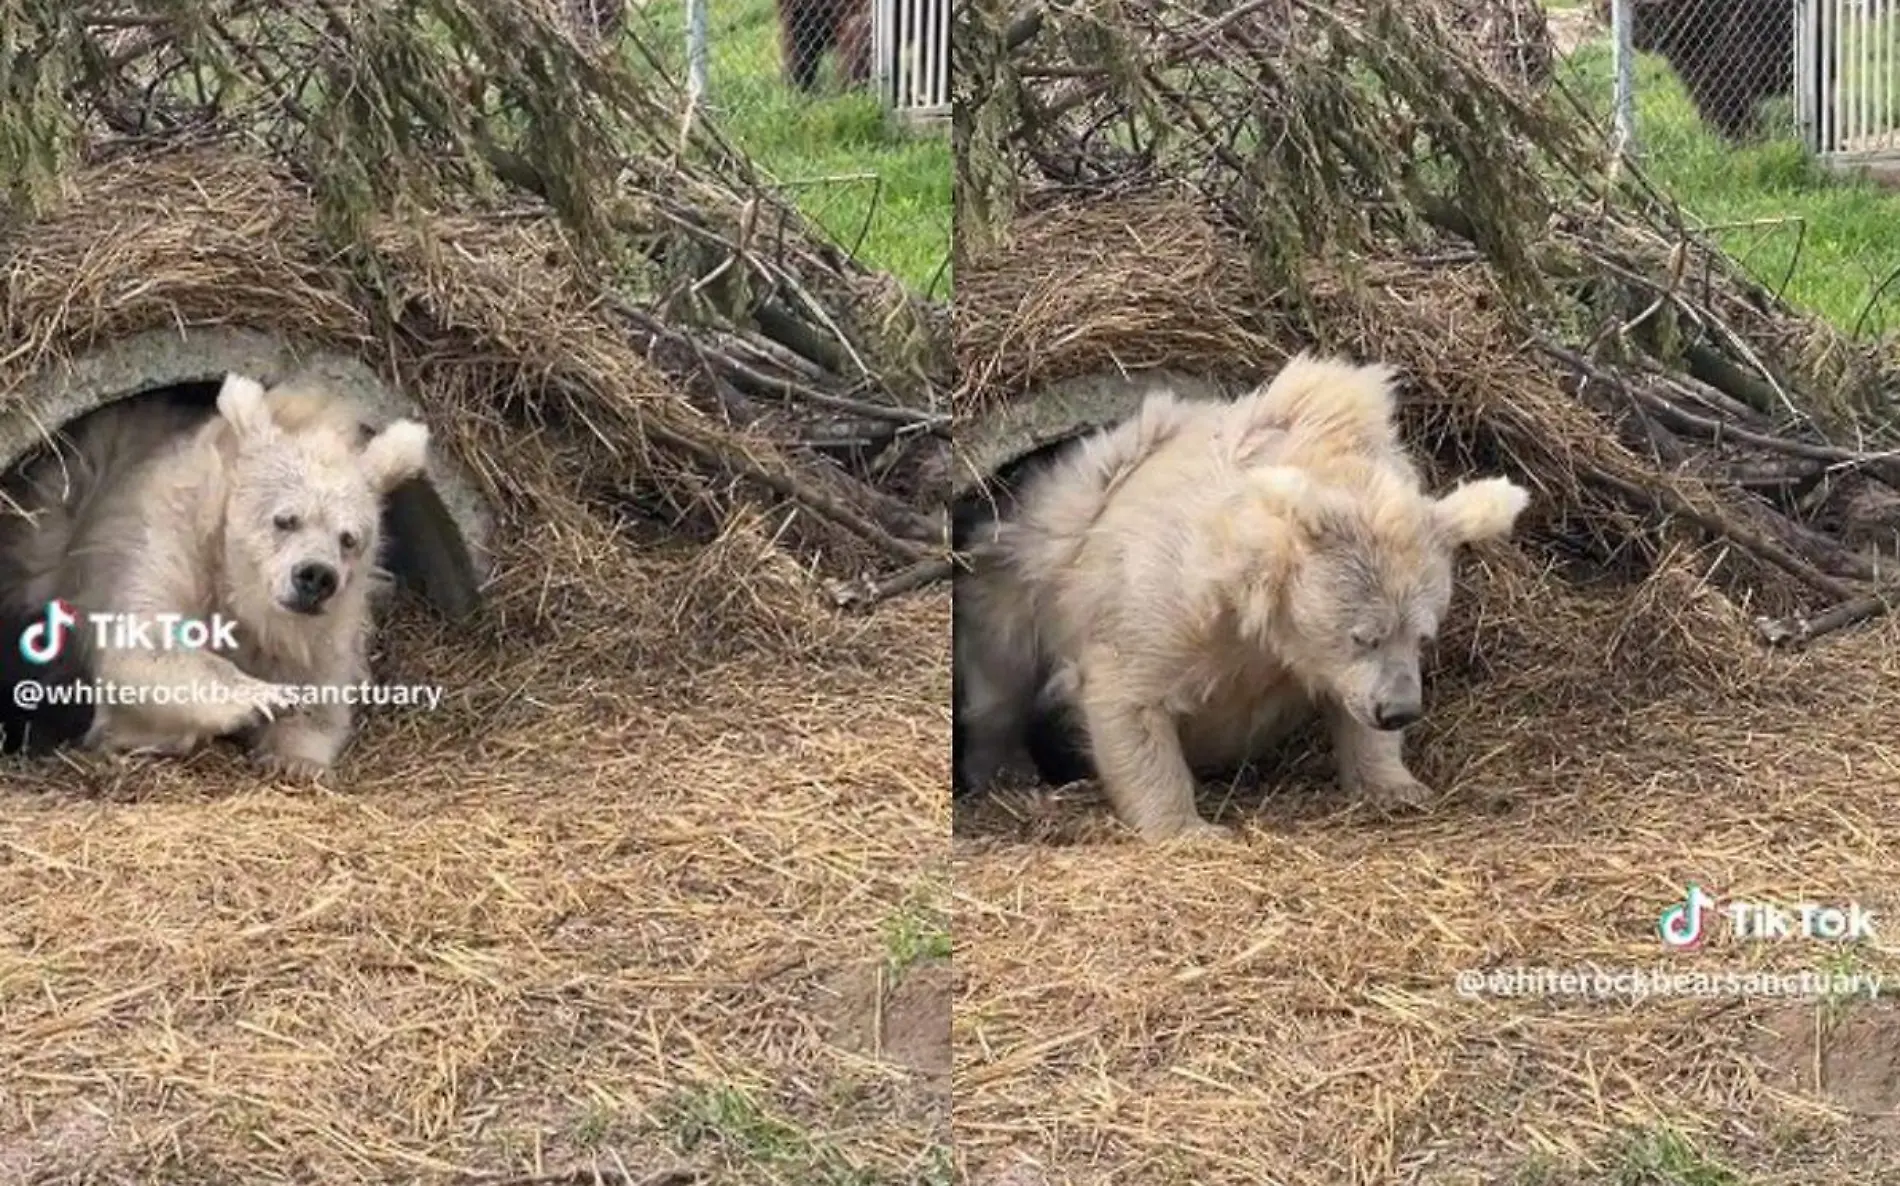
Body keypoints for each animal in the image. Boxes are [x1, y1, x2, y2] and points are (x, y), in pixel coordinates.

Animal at [0, 372, 429, 779]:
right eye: (285, 519)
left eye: (349, 538)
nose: (315, 576)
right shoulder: (169, 546)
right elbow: (144, 647)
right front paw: (263, 697)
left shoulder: (331, 623)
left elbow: (322, 695)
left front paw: (296, 759)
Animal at [950, 353, 1527, 843]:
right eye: (1364, 635)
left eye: (1423, 635)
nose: (1398, 711)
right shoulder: (1164, 595)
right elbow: (1129, 695)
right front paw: (1189, 829)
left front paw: (1399, 786)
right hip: (1015, 568)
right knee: (1000, 676)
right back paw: (1007, 770)